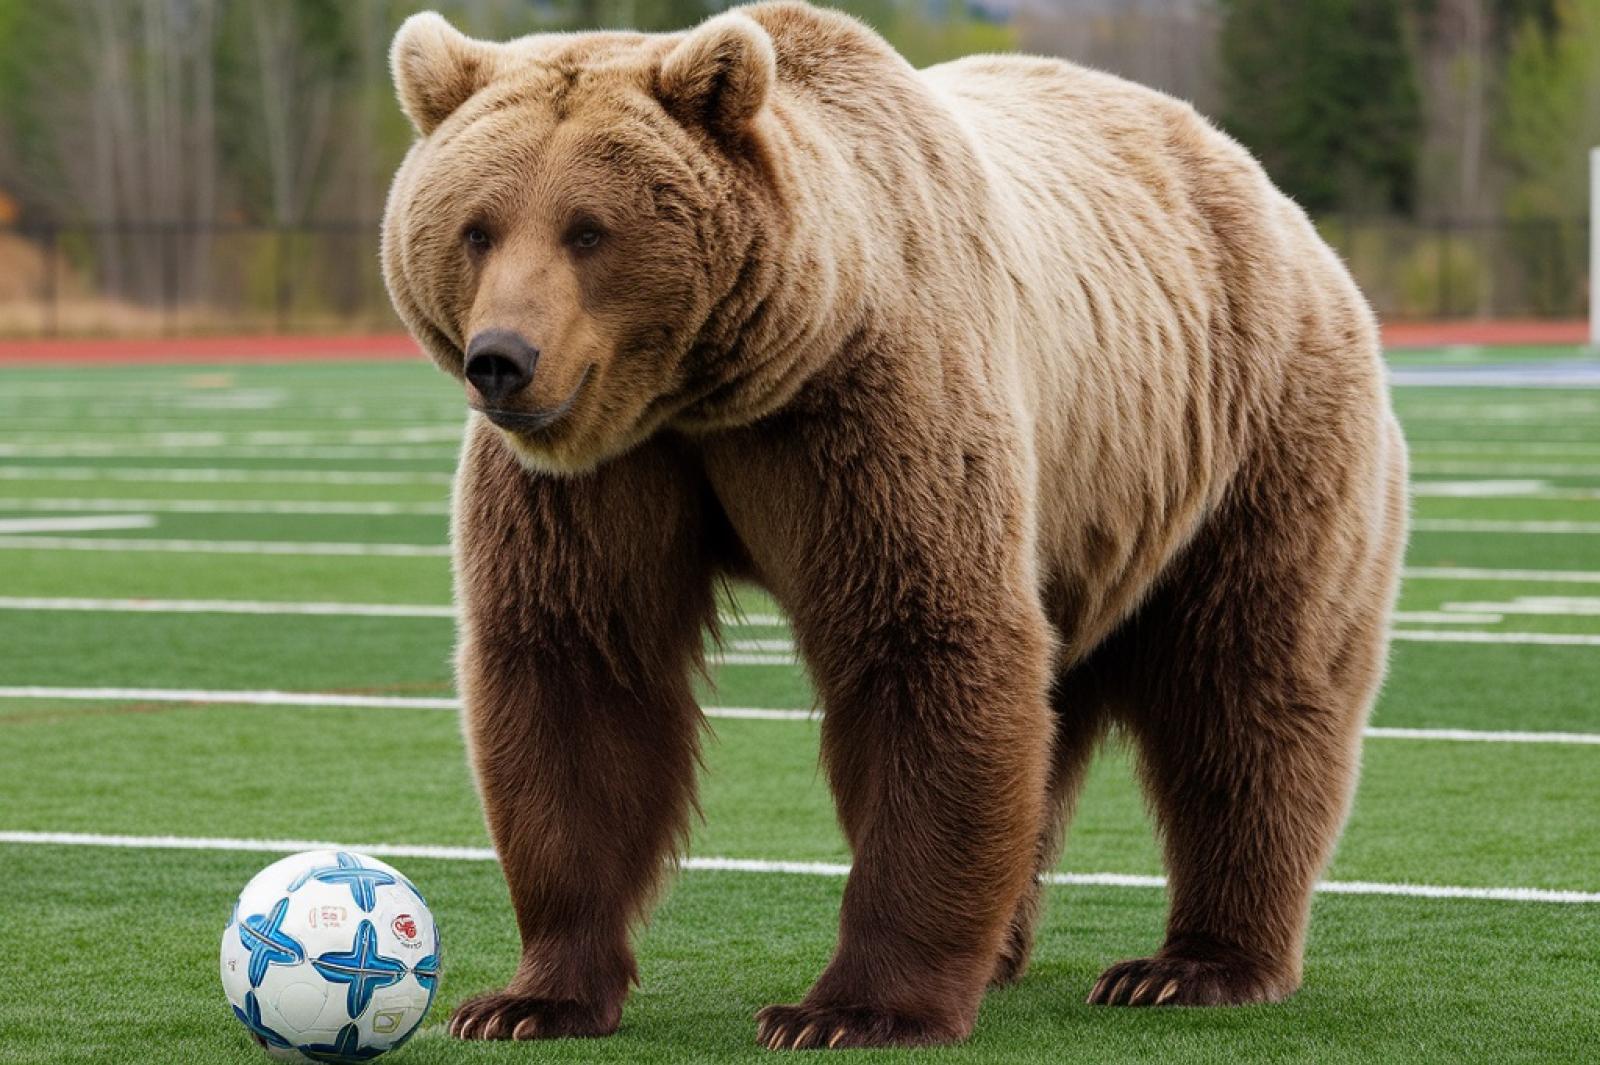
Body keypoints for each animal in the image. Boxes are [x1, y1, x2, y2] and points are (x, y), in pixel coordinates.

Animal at [381, 0, 1408, 1049]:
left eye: (589, 229)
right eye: (477, 227)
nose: (503, 359)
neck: (716, 390)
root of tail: (1277, 201)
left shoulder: (875, 404)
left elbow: (924, 643)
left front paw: (848, 1010)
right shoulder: (601, 475)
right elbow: (578, 668)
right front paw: (530, 996)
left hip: (1250, 439)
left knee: (1247, 690)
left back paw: (1191, 965)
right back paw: (1013, 950)